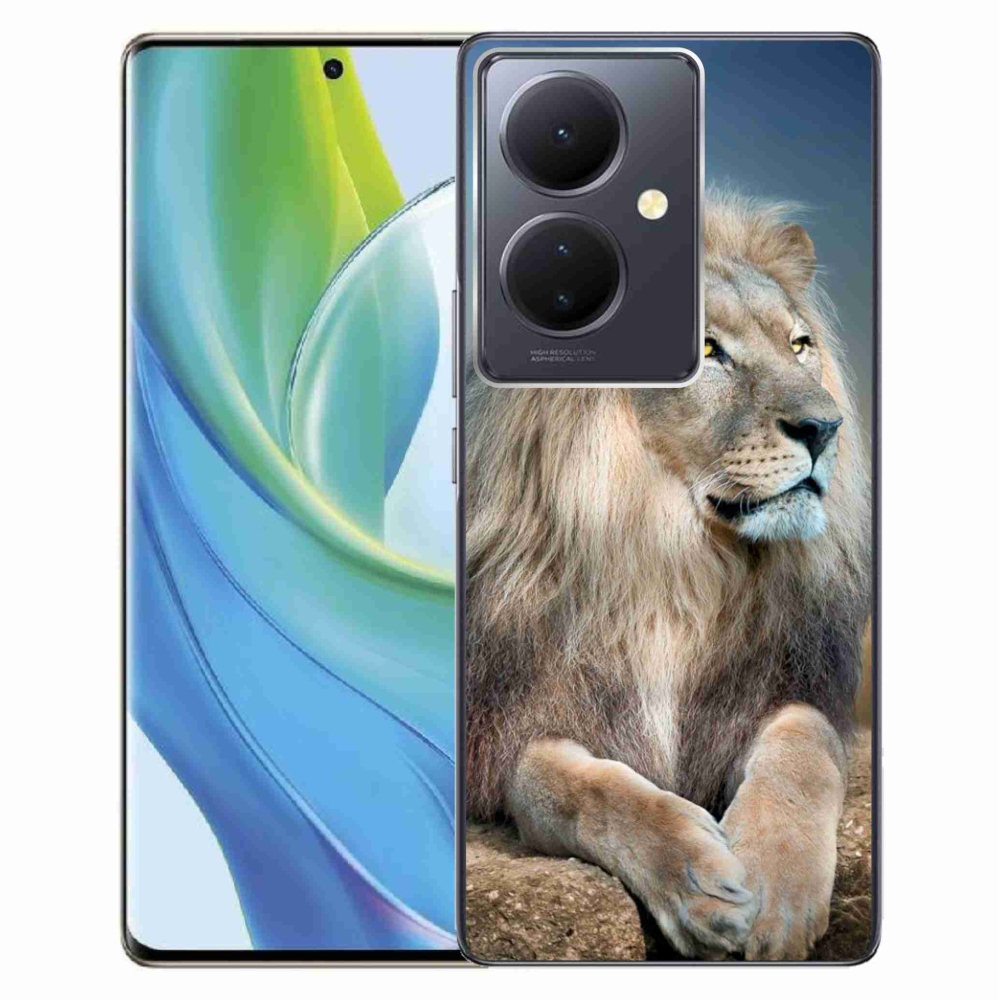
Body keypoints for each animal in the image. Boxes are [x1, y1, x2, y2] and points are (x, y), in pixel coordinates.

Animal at [464, 191, 872, 960]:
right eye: (707, 350)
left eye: (799, 345)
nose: (825, 427)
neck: (671, 562)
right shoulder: (506, 728)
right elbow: (576, 787)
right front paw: (698, 883)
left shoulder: (787, 686)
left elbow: (805, 747)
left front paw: (774, 888)